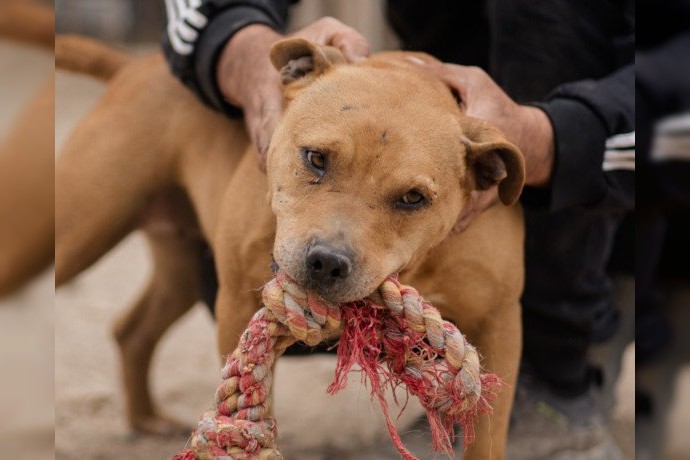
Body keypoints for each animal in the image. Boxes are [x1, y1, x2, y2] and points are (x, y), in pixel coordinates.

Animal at [56, 34, 524, 458]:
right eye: (315, 158)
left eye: (413, 198)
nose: (327, 263)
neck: (418, 266)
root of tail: (135, 64)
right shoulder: (234, 308)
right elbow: (251, 400)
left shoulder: (499, 324)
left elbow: (487, 436)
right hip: (80, 232)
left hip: (181, 268)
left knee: (133, 330)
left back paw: (145, 419)